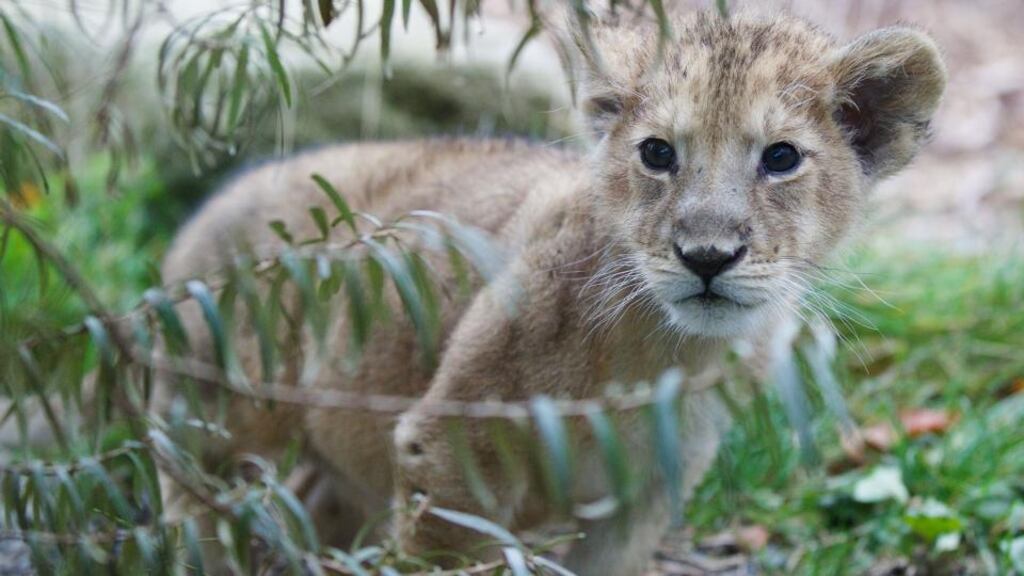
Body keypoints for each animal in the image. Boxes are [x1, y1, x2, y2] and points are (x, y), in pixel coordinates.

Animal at [153, 9, 946, 575]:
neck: (665, 350)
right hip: (214, 427)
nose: (707, 257)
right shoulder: (449, 449)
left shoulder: (646, 491)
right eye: (657, 153)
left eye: (781, 158)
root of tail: (206, 210)